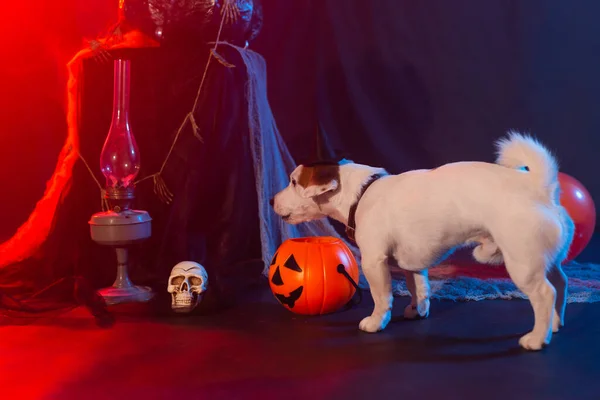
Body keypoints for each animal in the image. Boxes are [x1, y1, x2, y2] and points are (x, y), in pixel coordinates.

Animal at [272, 132, 572, 350]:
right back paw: (555, 324)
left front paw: (376, 322)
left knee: (545, 294)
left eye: (293, 182)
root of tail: (539, 188)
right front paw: (417, 310)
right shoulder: (412, 264)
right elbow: (419, 288)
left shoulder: (374, 262)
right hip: (546, 262)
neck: (361, 193)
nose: (272, 199)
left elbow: (382, 297)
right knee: (560, 284)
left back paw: (537, 338)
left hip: (523, 264)